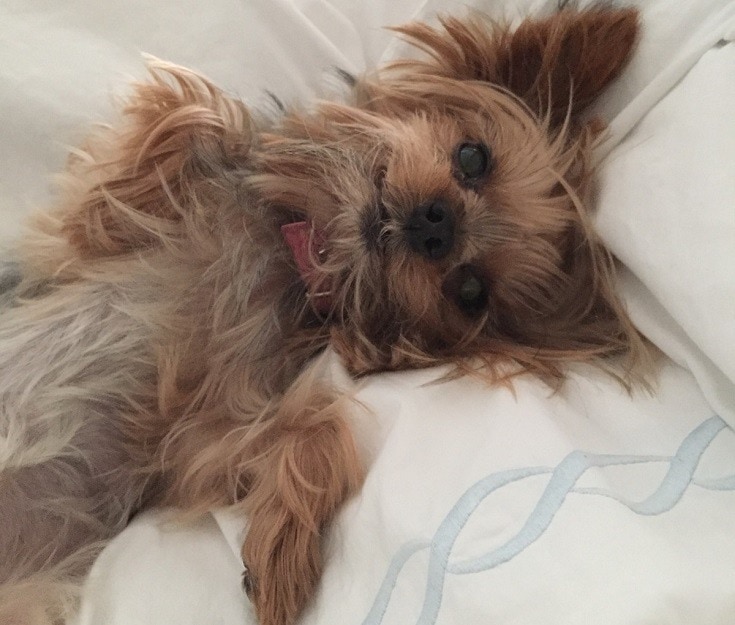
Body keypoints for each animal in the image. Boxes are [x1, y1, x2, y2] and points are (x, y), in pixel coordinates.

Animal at [0, 4, 648, 624]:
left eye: (471, 292)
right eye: (472, 157)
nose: (437, 224)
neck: (299, 259)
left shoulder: (195, 439)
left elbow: (314, 430)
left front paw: (281, 546)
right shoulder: (68, 244)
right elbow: (192, 114)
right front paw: (253, 151)